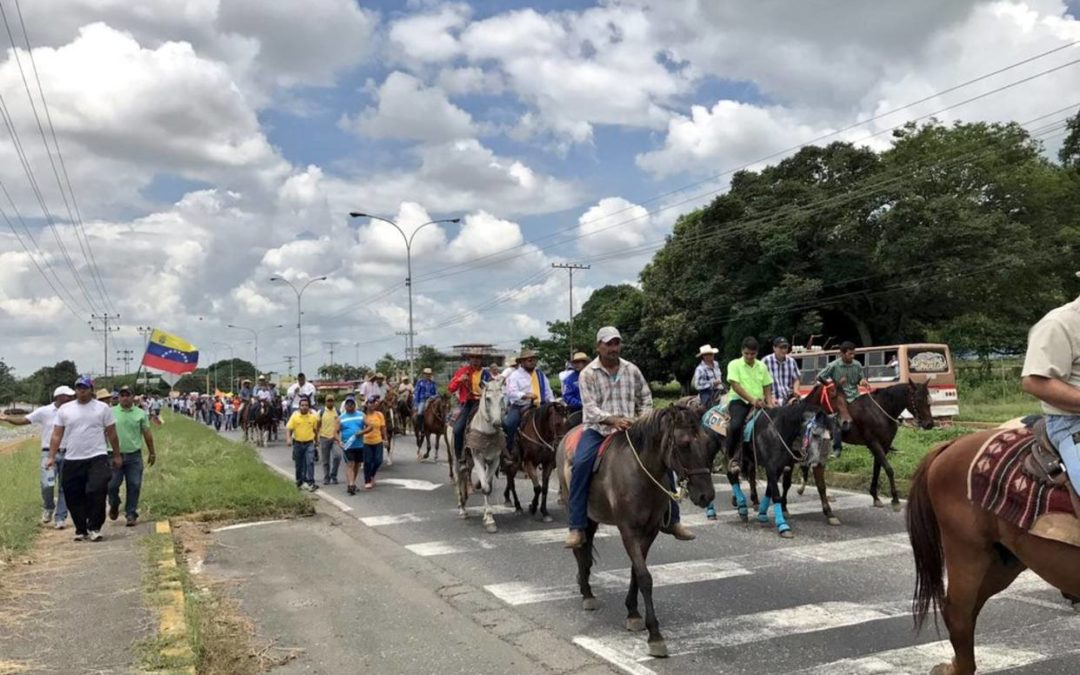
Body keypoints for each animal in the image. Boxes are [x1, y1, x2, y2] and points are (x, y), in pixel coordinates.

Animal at [453, 380, 507, 531]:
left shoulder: (494, 460)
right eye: (488, 399)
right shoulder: (479, 459)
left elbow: (487, 486)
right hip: (457, 459)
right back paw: (462, 509)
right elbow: (485, 487)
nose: (497, 423)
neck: (487, 433)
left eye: (502, 397)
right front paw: (489, 520)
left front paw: (488, 517)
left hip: (470, 461)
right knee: (459, 478)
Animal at [557, 401, 717, 656]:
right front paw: (655, 635)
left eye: (709, 443)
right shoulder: (628, 530)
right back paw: (587, 594)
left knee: (586, 552)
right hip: (575, 509)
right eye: (683, 444)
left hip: (593, 517)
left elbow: (636, 570)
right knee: (579, 547)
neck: (640, 474)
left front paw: (633, 613)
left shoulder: (650, 530)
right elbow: (644, 576)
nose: (706, 495)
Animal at [734, 384, 851, 537]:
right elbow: (785, 484)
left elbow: (821, 486)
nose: (846, 422)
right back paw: (745, 501)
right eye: (833, 396)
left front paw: (829, 513)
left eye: (846, 396)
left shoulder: (811, 460)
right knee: (745, 473)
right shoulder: (786, 462)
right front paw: (783, 509)